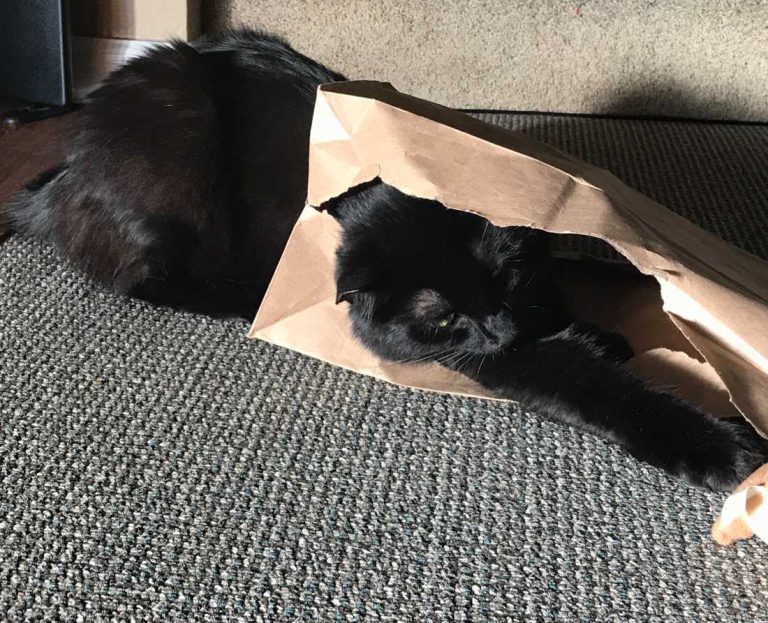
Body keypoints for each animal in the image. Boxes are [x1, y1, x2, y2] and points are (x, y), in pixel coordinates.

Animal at [331, 181, 768, 491]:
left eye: (501, 275)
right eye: (443, 319)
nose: (503, 331)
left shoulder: (536, 263)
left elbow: (553, 305)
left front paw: (605, 338)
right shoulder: (504, 358)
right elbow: (594, 383)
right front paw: (726, 451)